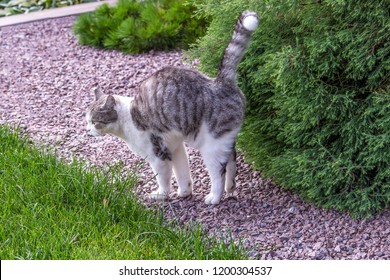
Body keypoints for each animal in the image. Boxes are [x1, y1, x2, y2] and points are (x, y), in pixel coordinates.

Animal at [84, 10, 258, 205]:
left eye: (94, 121)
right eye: (87, 121)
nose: (87, 130)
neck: (128, 117)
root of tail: (220, 83)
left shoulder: (158, 154)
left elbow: (163, 177)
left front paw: (162, 194)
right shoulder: (175, 147)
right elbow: (182, 172)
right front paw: (185, 192)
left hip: (211, 146)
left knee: (218, 172)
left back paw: (214, 197)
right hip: (224, 140)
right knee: (232, 158)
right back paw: (231, 187)